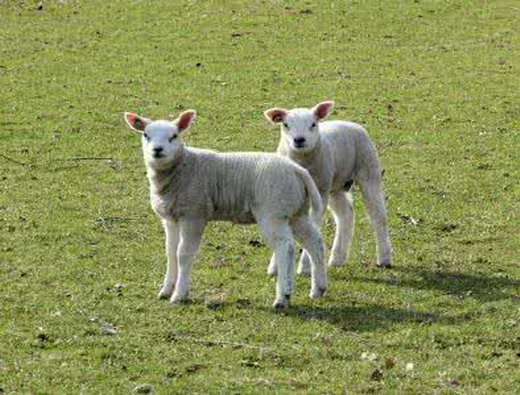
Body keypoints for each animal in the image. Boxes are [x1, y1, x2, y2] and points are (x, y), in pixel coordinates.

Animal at [123, 109, 324, 310]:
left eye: (174, 136)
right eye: (146, 135)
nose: (157, 150)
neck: (181, 168)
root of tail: (297, 170)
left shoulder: (193, 215)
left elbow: (183, 254)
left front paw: (179, 294)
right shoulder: (170, 219)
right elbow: (170, 252)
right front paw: (166, 290)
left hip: (273, 213)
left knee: (286, 248)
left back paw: (283, 296)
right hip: (296, 212)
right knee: (315, 242)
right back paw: (318, 289)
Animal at [266, 100, 392, 274]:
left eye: (313, 124)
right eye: (285, 124)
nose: (299, 140)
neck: (302, 163)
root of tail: (351, 123)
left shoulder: (320, 193)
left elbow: (313, 227)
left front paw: (305, 267)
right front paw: (274, 266)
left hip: (368, 171)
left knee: (378, 216)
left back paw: (384, 258)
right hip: (335, 186)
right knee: (345, 214)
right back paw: (337, 258)